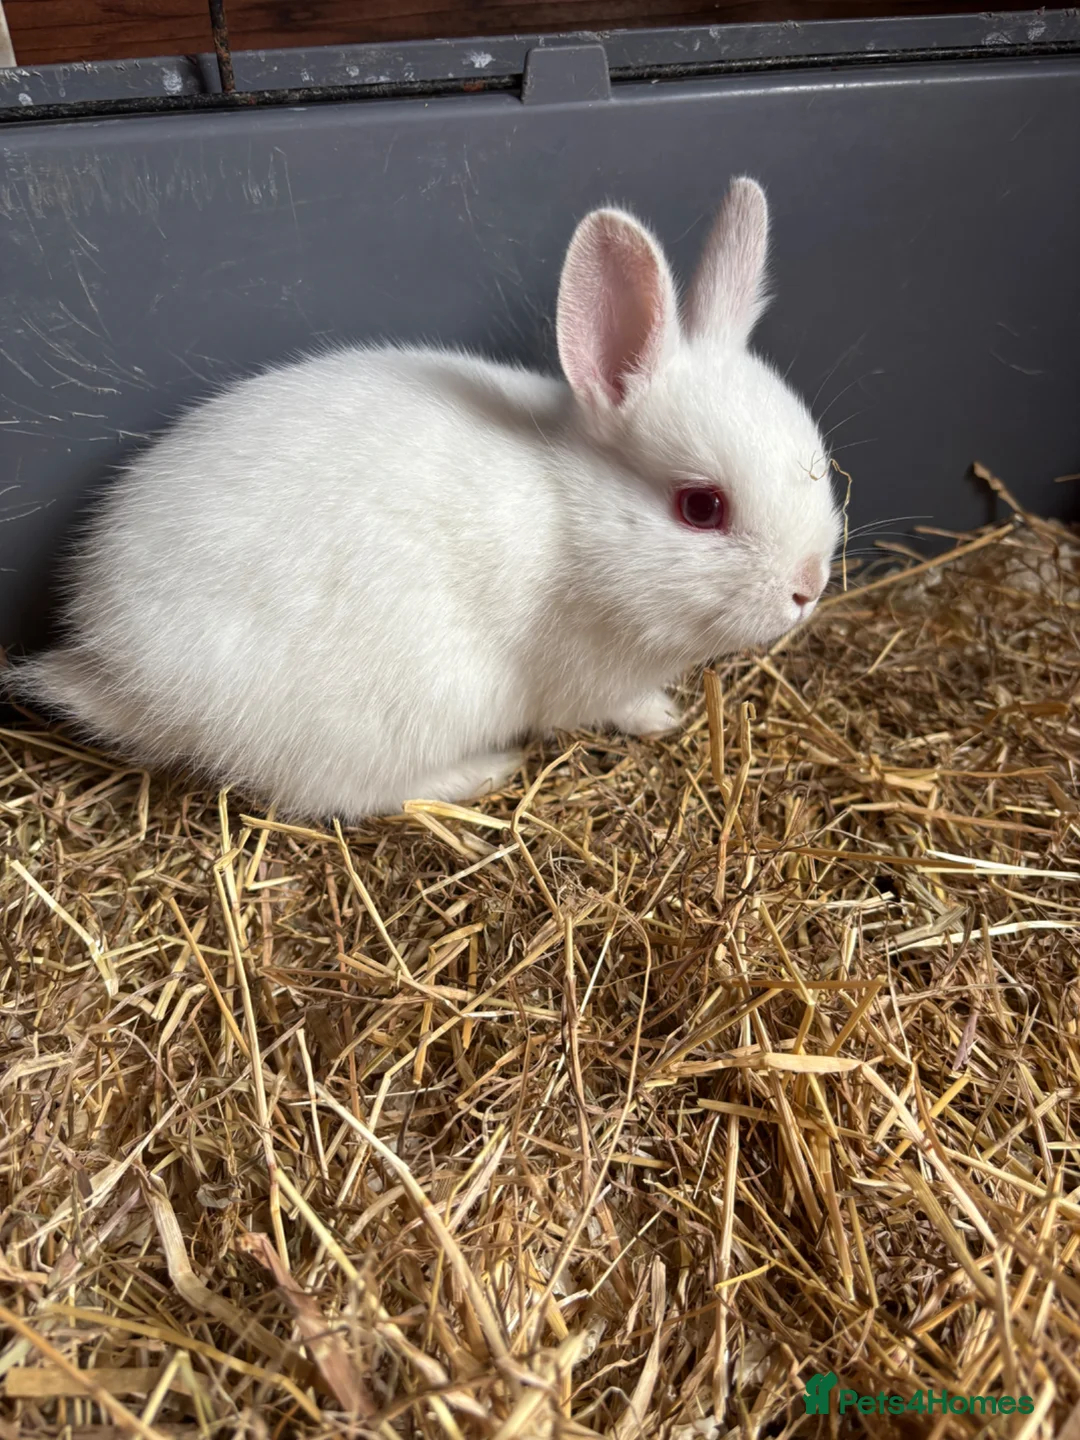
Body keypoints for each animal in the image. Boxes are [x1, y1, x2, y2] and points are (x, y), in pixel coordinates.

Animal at [8, 177, 841, 823]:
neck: (580, 519)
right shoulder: (590, 677)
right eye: (701, 507)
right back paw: (481, 770)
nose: (809, 589)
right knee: (345, 795)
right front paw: (664, 717)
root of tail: (120, 668)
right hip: (393, 715)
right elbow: (619, 706)